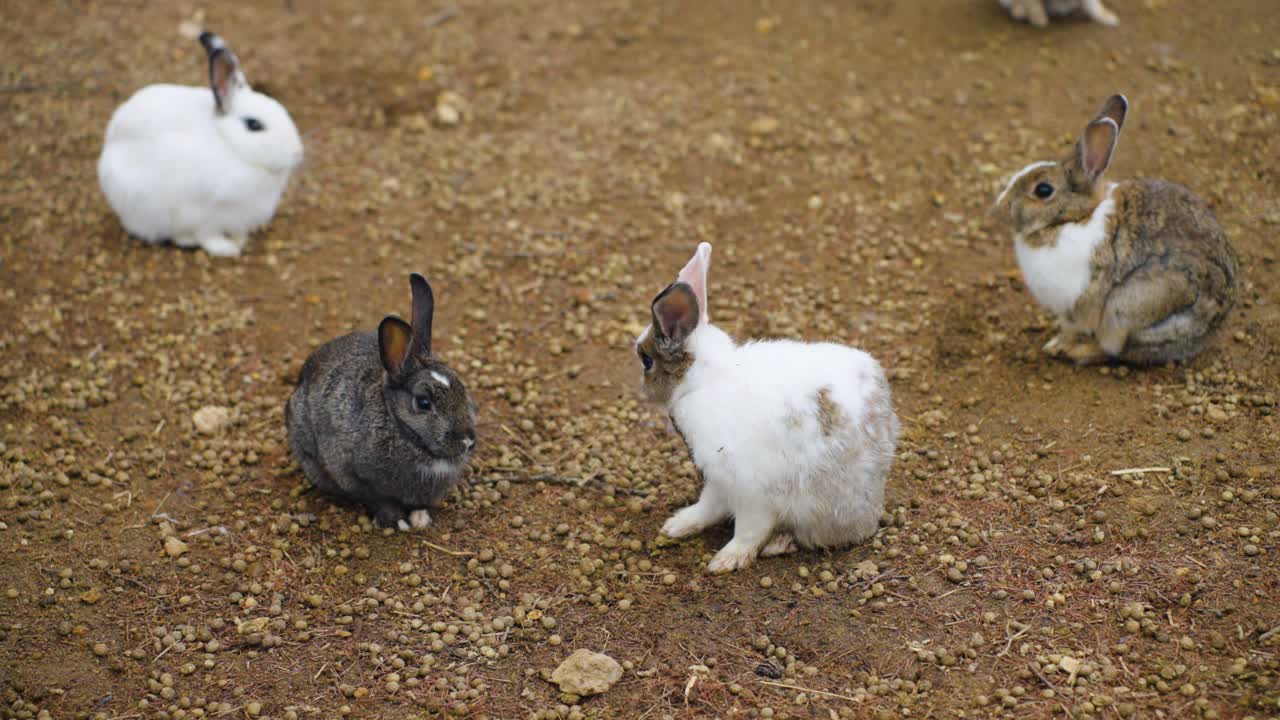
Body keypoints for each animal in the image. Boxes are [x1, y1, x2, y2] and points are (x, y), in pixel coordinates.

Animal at [97, 31, 303, 257]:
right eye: (254, 124)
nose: (297, 153)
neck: (231, 145)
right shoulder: (202, 214)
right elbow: (208, 236)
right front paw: (227, 249)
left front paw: (240, 240)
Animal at [286, 274, 478, 530]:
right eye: (423, 403)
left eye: (462, 389)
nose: (467, 441)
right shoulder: (356, 477)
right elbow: (380, 501)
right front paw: (398, 522)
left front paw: (420, 519)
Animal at [636, 243, 900, 572]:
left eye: (646, 360)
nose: (641, 391)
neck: (705, 379)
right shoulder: (718, 478)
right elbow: (708, 506)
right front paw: (677, 525)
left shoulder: (751, 490)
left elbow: (749, 529)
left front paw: (726, 560)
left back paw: (779, 543)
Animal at [992, 94, 1240, 365]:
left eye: (1043, 190)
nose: (1000, 207)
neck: (1075, 217)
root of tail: (1211, 330)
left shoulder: (1074, 306)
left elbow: (1072, 329)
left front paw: (1057, 345)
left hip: (1127, 309)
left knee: (1118, 351)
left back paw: (1077, 352)